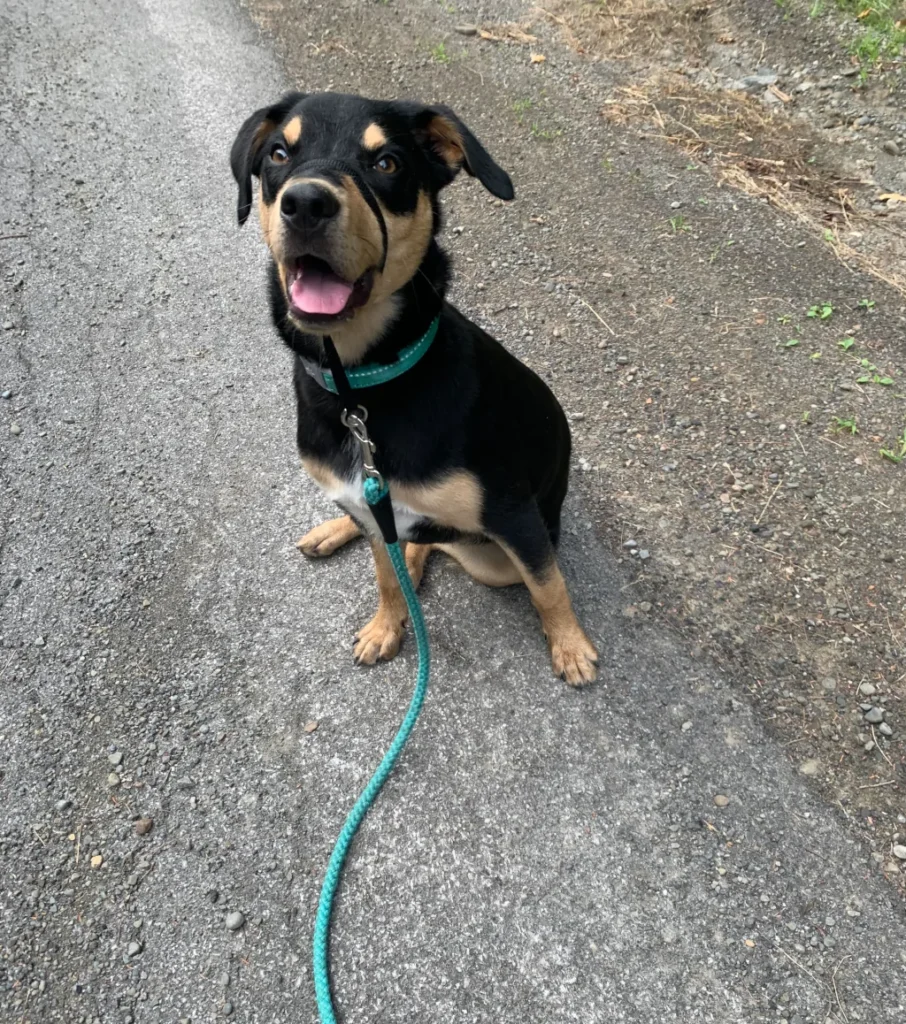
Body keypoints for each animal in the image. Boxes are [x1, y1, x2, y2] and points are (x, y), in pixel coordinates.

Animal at [229, 92, 597, 684]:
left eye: (387, 163)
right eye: (280, 153)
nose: (305, 203)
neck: (358, 391)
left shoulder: (516, 518)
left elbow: (549, 587)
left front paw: (570, 646)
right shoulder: (374, 507)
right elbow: (385, 575)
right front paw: (387, 624)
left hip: (495, 558)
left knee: (439, 546)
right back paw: (338, 534)